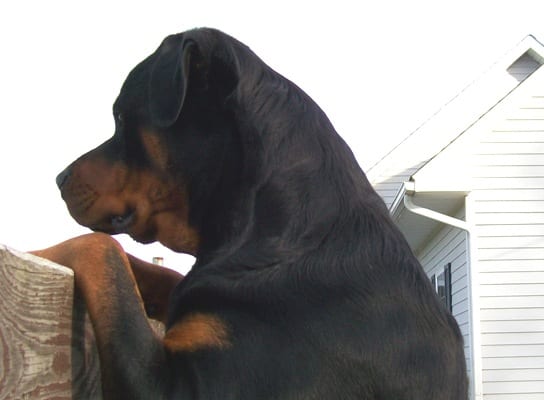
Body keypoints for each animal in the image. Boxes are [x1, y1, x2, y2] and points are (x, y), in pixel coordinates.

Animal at [33, 26, 468, 398]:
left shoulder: (182, 388)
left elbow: (99, 249)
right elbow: (147, 270)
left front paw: (41, 252)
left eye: (121, 117)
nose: (59, 178)